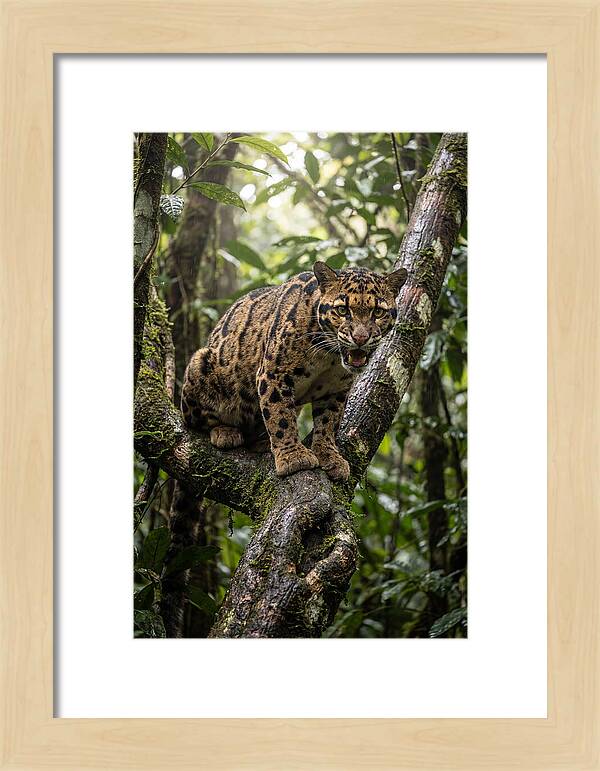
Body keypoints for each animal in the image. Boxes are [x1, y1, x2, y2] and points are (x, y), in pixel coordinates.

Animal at [181, 261, 408, 480]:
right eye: (343, 310)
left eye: (378, 312)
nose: (360, 338)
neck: (329, 356)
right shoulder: (273, 374)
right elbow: (280, 416)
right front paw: (293, 457)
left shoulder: (336, 390)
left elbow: (328, 423)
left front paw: (329, 455)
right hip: (200, 362)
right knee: (196, 421)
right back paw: (225, 431)